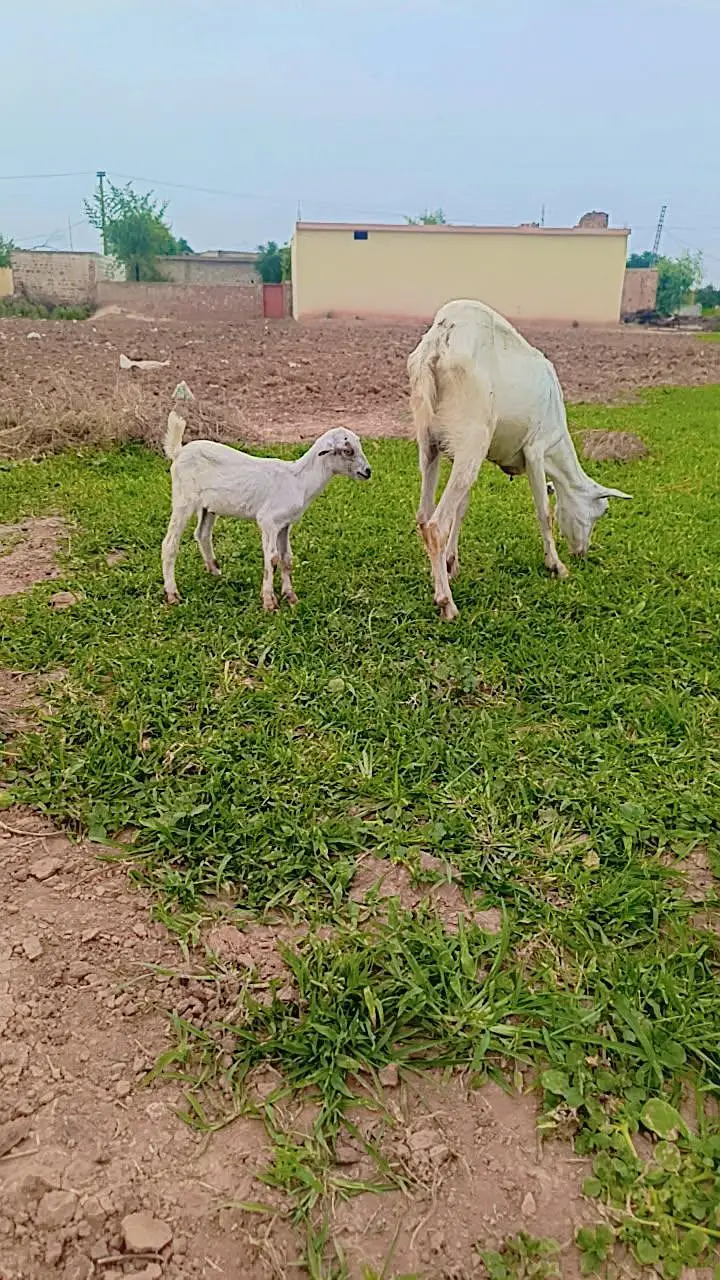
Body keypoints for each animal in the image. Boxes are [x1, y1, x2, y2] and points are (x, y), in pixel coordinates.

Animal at [161, 411, 371, 610]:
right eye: (347, 450)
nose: (368, 472)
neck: (299, 480)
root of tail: (178, 451)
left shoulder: (285, 524)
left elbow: (287, 558)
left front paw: (291, 597)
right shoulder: (268, 521)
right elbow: (272, 558)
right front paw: (270, 602)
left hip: (208, 506)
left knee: (202, 534)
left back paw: (216, 573)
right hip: (183, 499)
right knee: (170, 543)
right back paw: (173, 595)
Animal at [407, 299, 631, 619]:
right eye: (601, 510)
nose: (581, 552)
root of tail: (440, 341)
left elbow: (462, 508)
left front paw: (451, 565)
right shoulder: (536, 450)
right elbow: (545, 512)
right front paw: (557, 566)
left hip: (430, 442)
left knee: (425, 516)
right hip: (472, 436)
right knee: (436, 526)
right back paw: (446, 603)